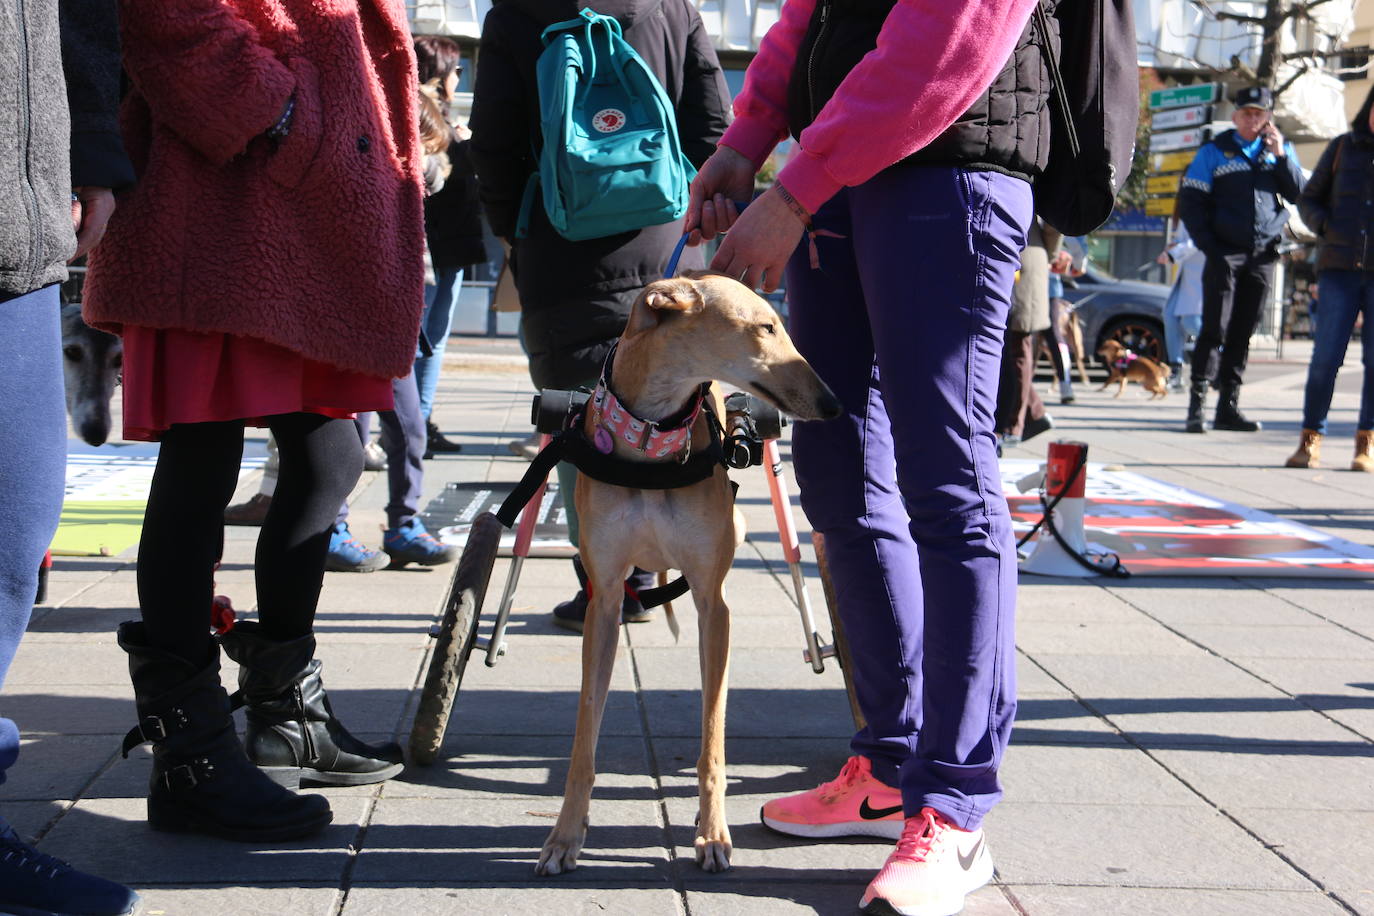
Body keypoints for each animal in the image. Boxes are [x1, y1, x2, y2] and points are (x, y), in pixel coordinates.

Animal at [533, 270, 835, 873]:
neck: (652, 436)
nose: (833, 403)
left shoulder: (713, 606)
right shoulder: (605, 602)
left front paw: (713, 833)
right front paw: (564, 836)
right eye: (766, 327)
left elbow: (711, 736)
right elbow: (584, 736)